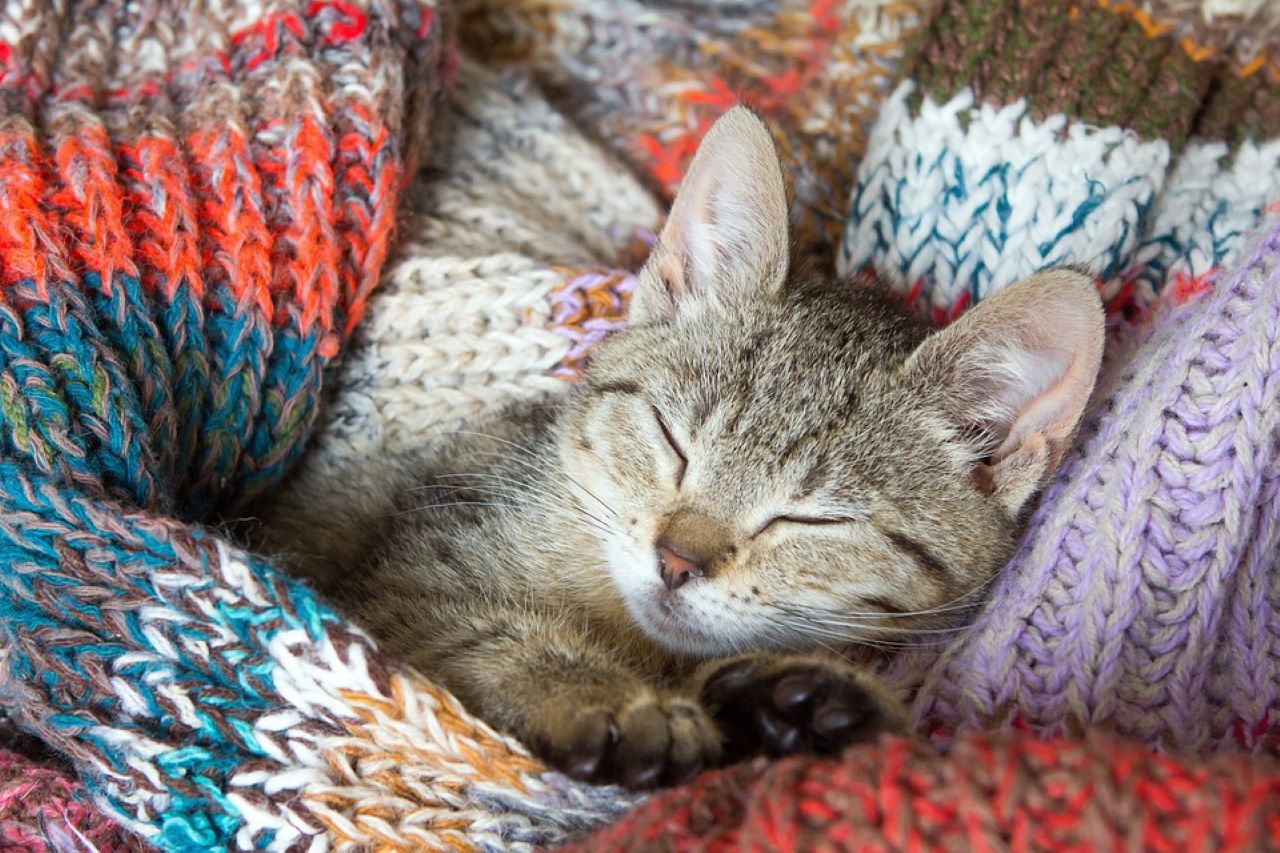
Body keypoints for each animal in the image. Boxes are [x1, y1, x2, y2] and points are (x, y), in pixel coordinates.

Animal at [254, 108, 1105, 788]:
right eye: (673, 441)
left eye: (811, 520)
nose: (676, 560)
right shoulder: (400, 578)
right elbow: (487, 631)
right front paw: (610, 698)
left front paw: (804, 701)